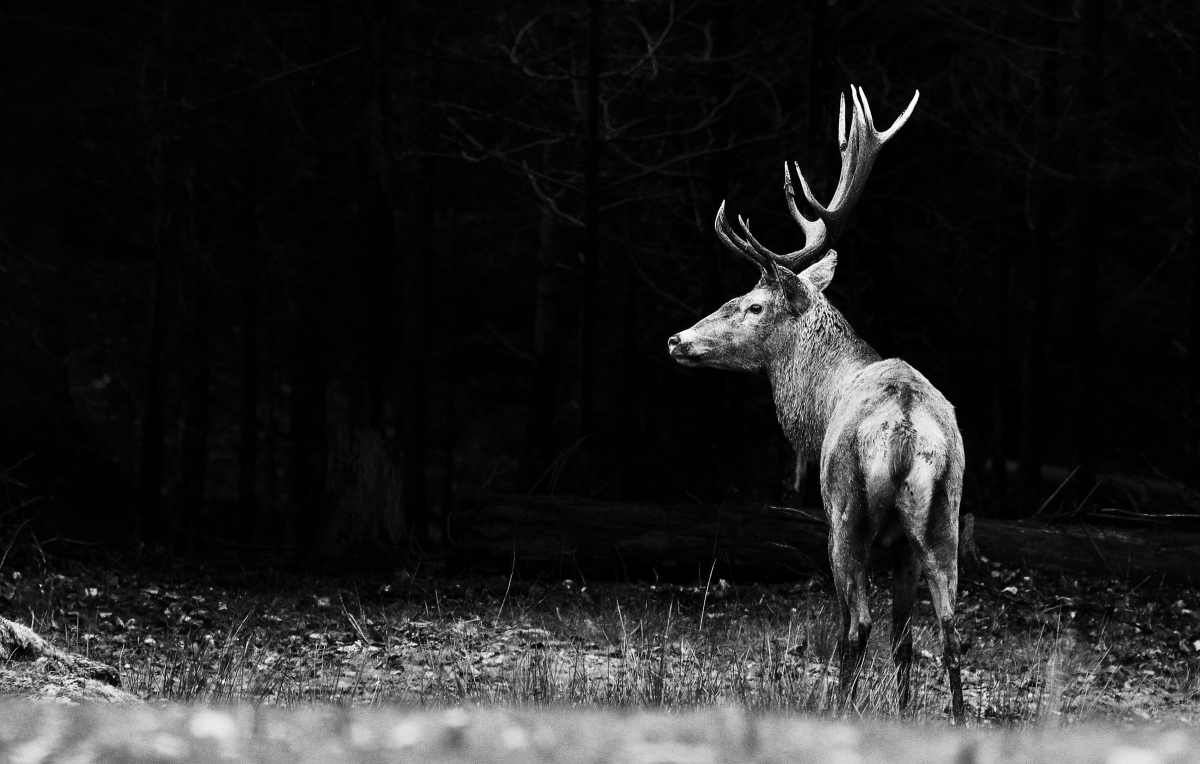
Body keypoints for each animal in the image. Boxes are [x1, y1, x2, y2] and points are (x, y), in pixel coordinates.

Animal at [667, 88, 964, 719]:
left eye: (753, 304)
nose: (677, 339)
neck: (822, 403)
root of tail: (905, 431)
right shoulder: (904, 544)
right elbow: (906, 640)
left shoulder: (830, 515)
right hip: (943, 512)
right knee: (949, 628)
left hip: (848, 512)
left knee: (856, 625)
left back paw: (836, 706)